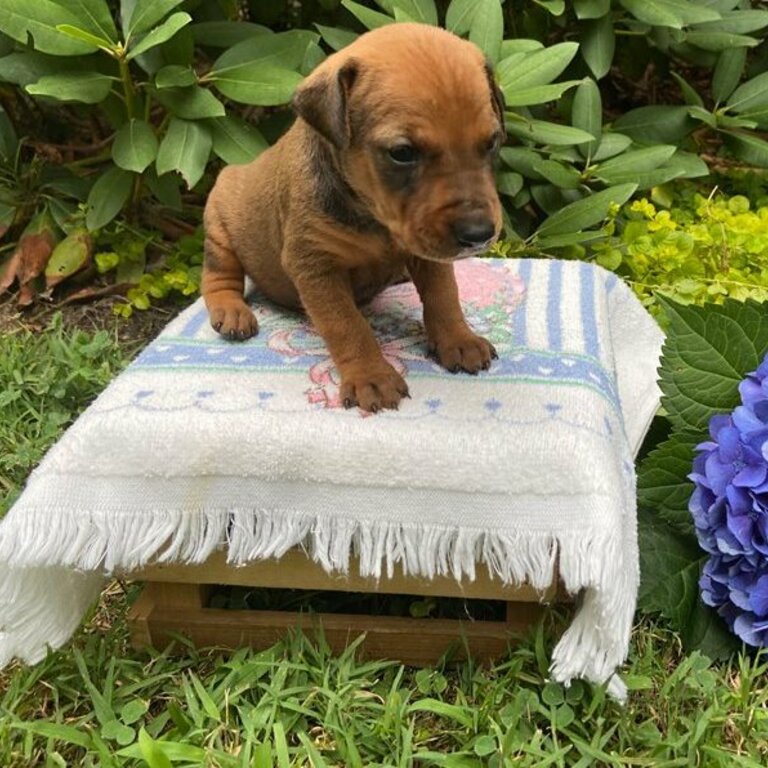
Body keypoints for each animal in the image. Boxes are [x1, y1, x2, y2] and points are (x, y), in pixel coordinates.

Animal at [201, 21, 508, 412]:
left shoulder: (429, 254)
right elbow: (347, 324)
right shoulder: (316, 266)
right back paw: (231, 311)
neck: (376, 219)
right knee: (218, 276)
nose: (478, 234)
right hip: (219, 226)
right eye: (402, 153)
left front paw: (459, 339)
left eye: (492, 142)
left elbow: (444, 295)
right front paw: (371, 377)